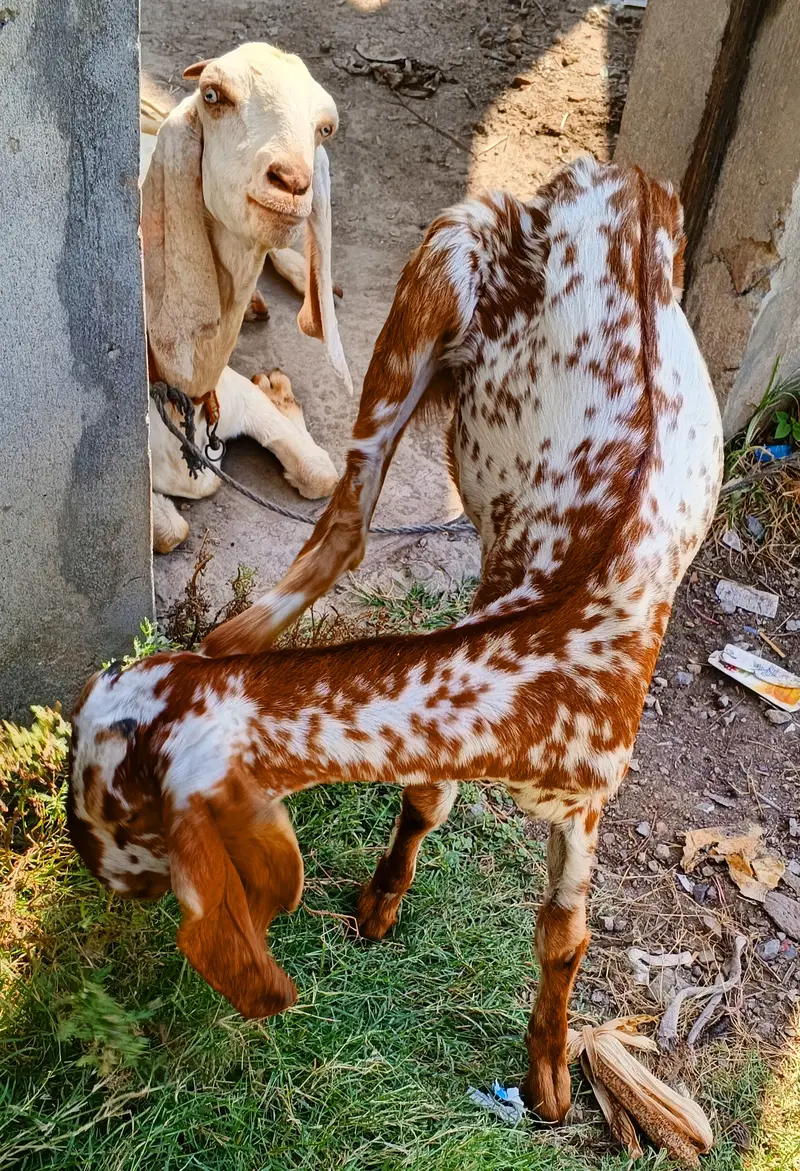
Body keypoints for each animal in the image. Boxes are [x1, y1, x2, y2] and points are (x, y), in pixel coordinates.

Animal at [67, 158, 722, 1123]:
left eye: (105, 806)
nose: (76, 853)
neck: (544, 658)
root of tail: (621, 175)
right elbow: (424, 799)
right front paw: (381, 902)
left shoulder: (589, 791)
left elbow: (565, 931)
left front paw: (552, 1073)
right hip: (440, 261)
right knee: (346, 520)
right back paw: (242, 628)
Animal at [140, 44, 351, 554]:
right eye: (212, 95)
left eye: (325, 128)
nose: (293, 182)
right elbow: (173, 530)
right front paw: (280, 390)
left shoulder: (236, 397)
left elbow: (322, 473)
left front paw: (280, 393)